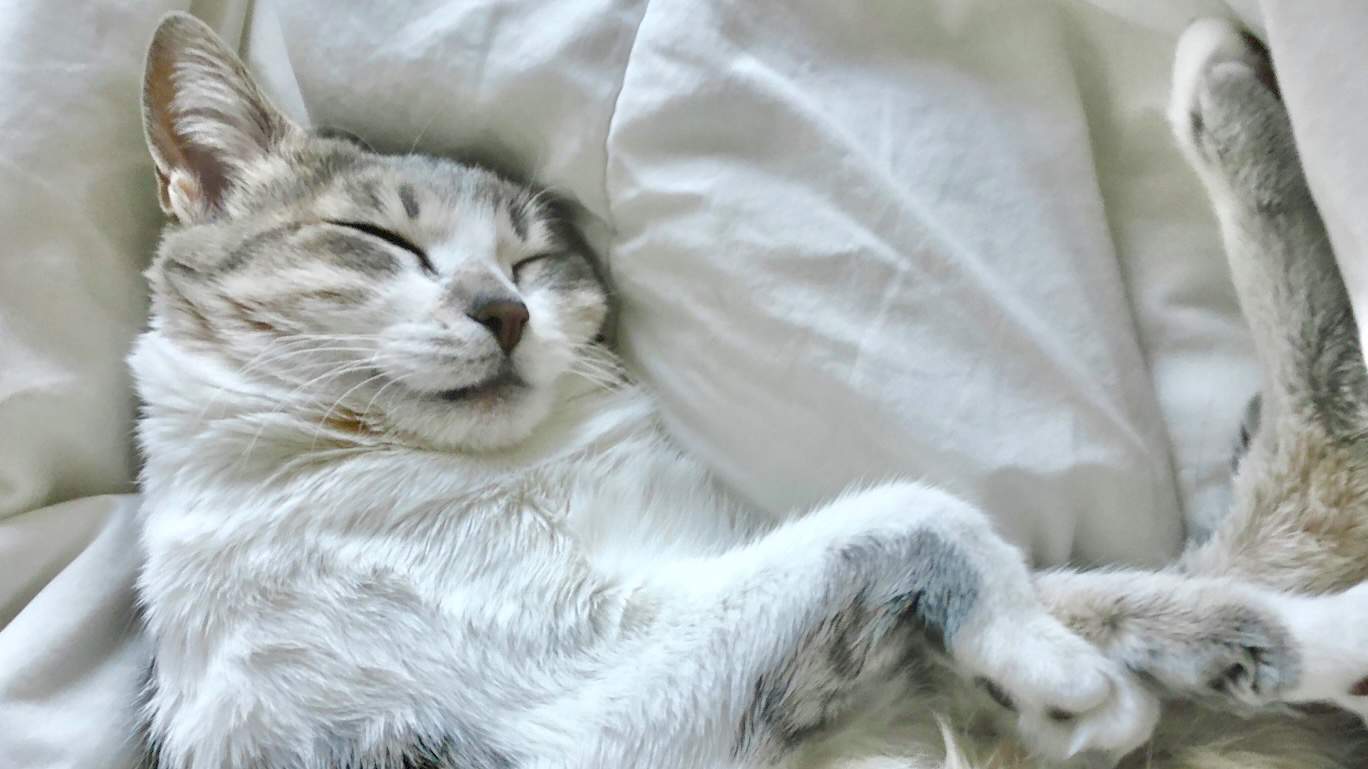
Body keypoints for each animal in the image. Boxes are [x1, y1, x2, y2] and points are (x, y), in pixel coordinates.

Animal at [128, 11, 1368, 766]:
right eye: (383, 241)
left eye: (534, 261)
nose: (504, 311)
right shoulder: (588, 716)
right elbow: (919, 512)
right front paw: (1061, 676)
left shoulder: (700, 569)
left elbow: (1056, 577)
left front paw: (1075, 662)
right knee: (1321, 466)